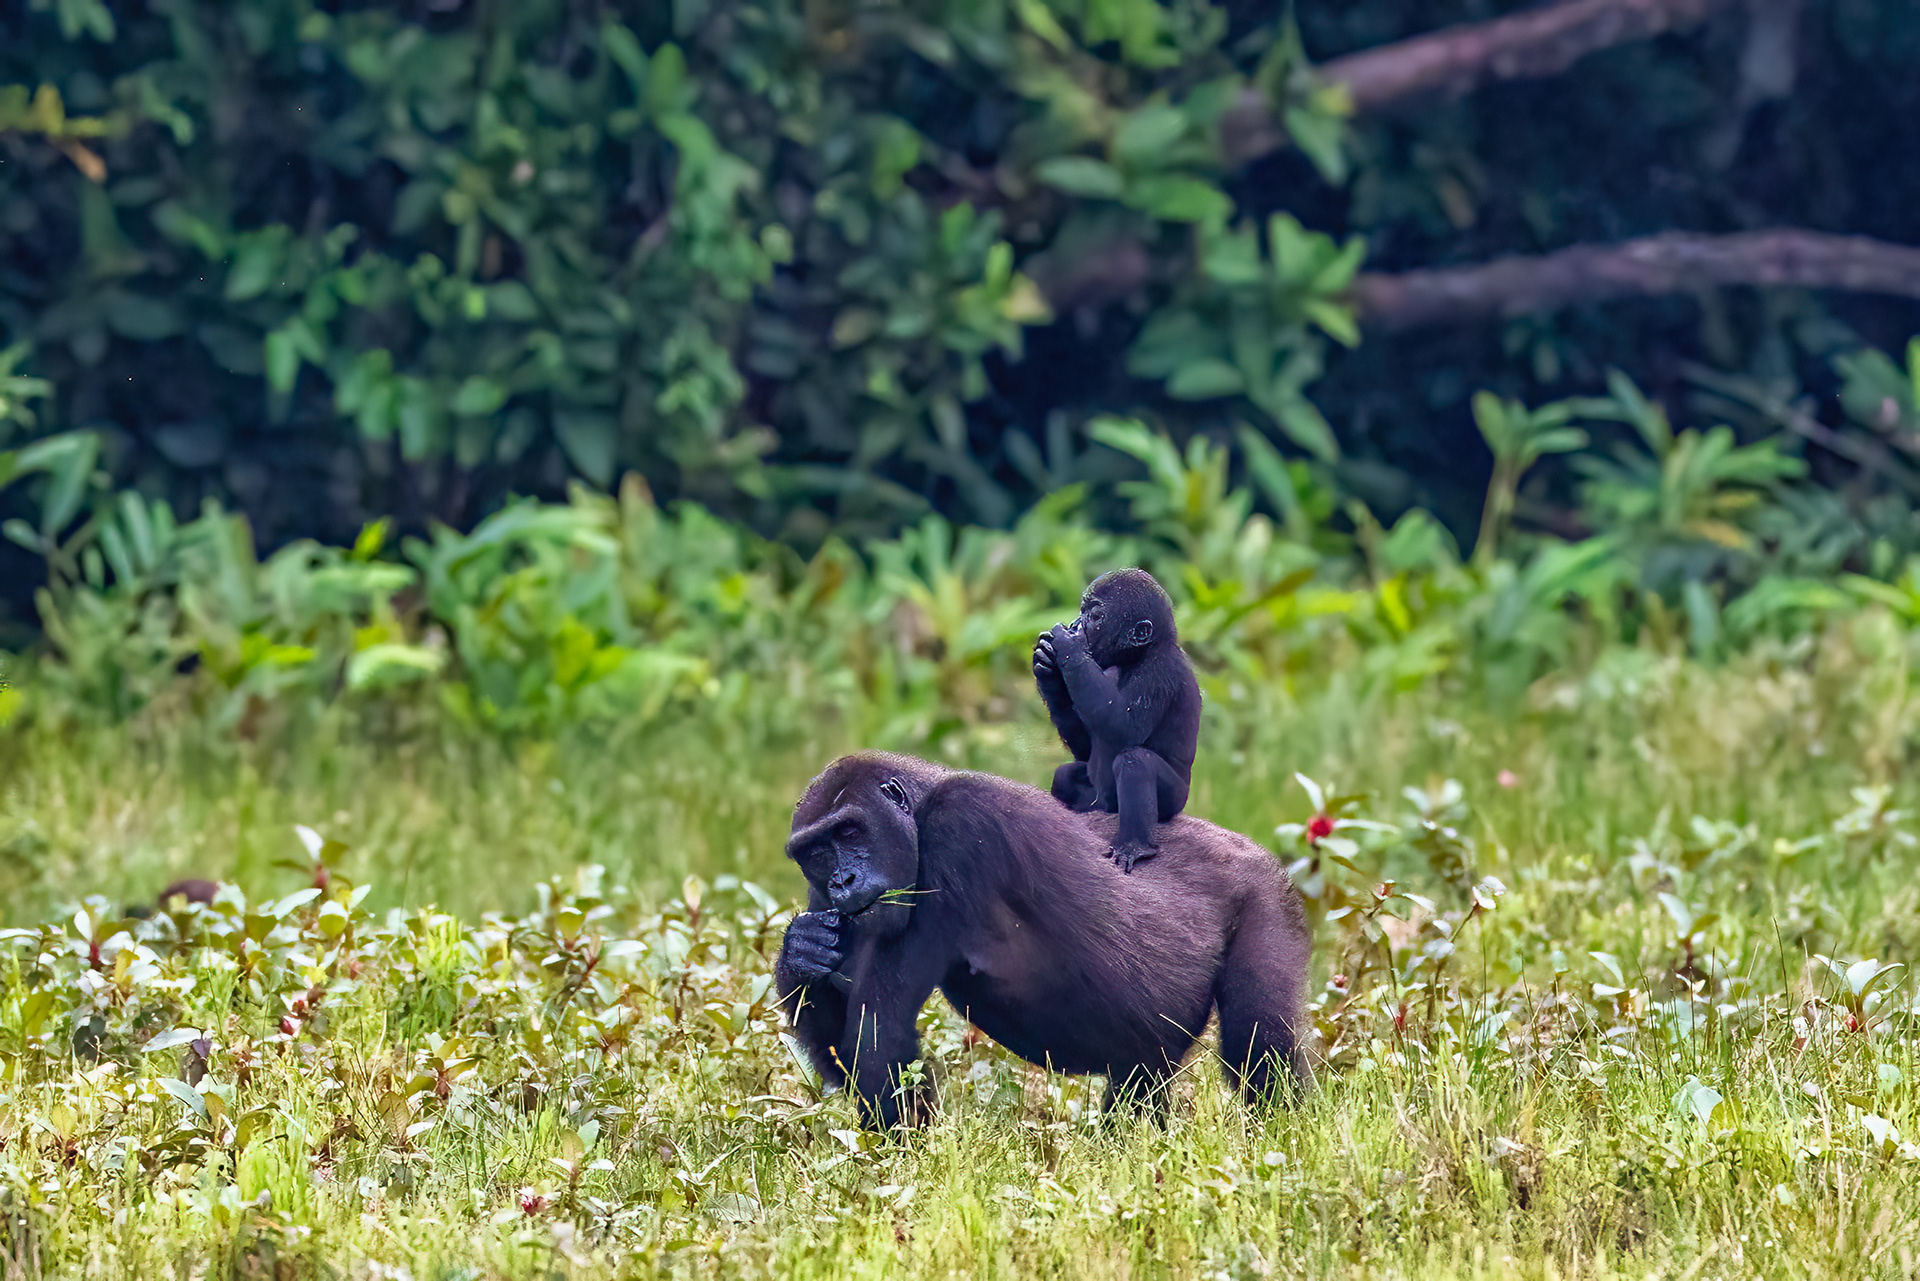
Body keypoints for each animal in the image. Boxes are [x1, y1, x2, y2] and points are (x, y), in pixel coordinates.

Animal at [774, 752, 1312, 1129]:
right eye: (816, 852)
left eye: (849, 831)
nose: (842, 881)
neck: (923, 806)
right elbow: (845, 1050)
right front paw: (800, 952)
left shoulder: (960, 826)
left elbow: (879, 1035)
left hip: (1265, 894)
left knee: (1258, 1047)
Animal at [1033, 568, 1201, 873]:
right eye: (1082, 610)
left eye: (1095, 615)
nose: (1075, 623)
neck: (1138, 655)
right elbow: (1087, 746)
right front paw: (1048, 674)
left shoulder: (1160, 671)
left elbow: (1124, 727)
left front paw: (1069, 645)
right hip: (1102, 803)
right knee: (1067, 776)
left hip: (1175, 801)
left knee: (1136, 763)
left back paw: (1135, 845)